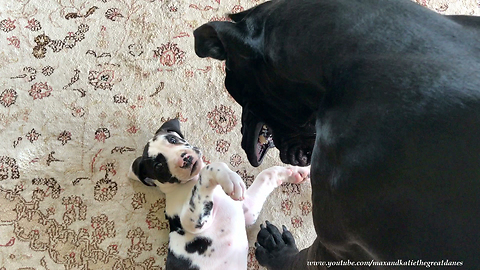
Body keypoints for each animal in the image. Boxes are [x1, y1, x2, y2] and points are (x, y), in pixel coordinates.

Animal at [128, 119, 308, 268]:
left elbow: (267, 174)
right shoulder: (192, 221)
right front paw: (228, 176)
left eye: (172, 140)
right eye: (158, 166)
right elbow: (210, 168)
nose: (185, 159)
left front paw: (295, 171)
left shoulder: (248, 209)